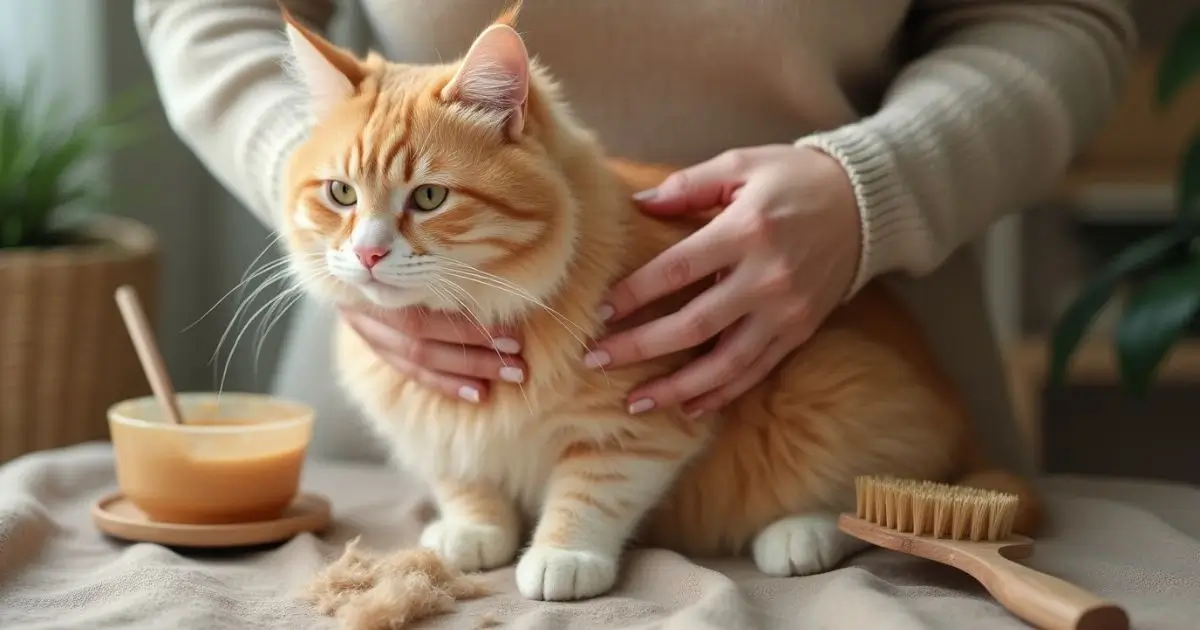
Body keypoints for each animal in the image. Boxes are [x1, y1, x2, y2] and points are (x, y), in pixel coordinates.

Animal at [276, 8, 1036, 600]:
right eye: (341, 194)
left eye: (429, 197)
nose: (369, 254)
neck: (488, 307)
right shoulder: (438, 422)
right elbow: (465, 477)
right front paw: (472, 531)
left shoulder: (637, 420)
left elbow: (589, 489)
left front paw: (562, 555)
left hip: (830, 395)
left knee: (871, 507)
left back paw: (800, 535)